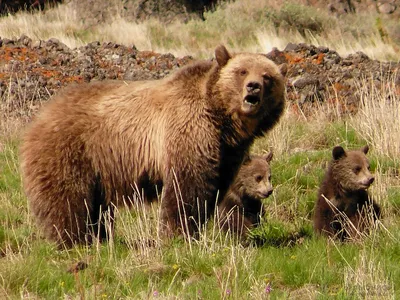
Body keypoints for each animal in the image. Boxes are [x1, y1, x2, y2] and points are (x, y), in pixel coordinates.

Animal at [19, 44, 288, 246]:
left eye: (268, 77)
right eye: (242, 71)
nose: (254, 86)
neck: (222, 120)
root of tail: (39, 116)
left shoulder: (226, 152)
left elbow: (213, 190)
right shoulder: (188, 132)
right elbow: (186, 190)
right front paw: (178, 235)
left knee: (96, 206)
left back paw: (100, 238)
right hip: (71, 150)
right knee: (68, 199)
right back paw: (74, 239)